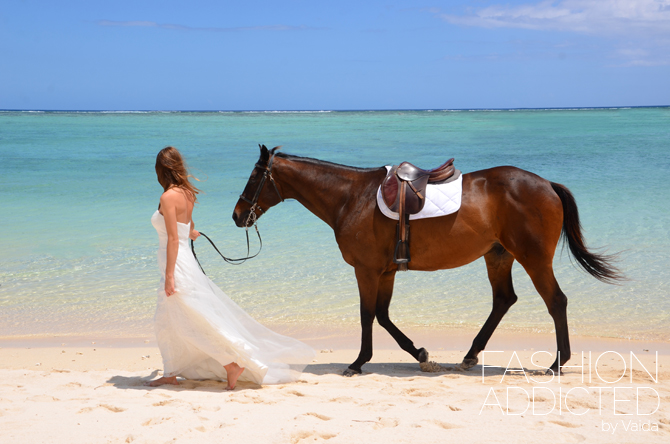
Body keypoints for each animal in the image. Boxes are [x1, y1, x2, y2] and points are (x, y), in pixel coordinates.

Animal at [232, 145, 624, 374]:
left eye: (254, 175)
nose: (237, 215)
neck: (351, 197)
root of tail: (547, 184)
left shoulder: (367, 270)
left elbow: (367, 314)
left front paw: (358, 362)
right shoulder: (385, 271)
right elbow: (382, 315)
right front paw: (420, 353)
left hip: (533, 259)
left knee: (556, 301)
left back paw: (558, 363)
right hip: (498, 256)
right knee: (503, 300)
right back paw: (471, 354)